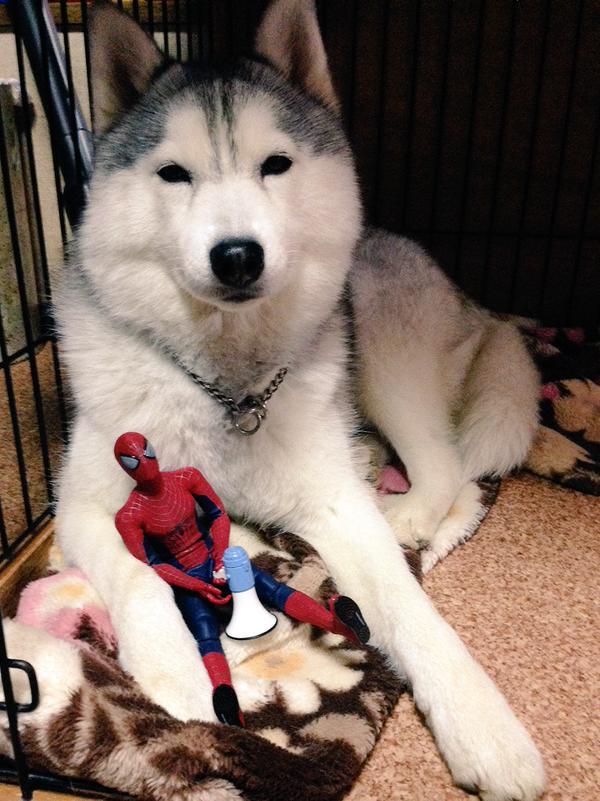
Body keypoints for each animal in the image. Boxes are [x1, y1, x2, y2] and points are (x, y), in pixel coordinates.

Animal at [54, 1, 544, 798]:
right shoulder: (86, 503)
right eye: (173, 174)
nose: (237, 255)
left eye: (275, 165)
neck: (226, 384)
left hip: (375, 325)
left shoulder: (336, 507)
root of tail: (477, 304)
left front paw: (482, 722)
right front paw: (179, 672)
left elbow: (409, 608)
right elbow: (136, 575)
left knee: (443, 465)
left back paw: (407, 510)